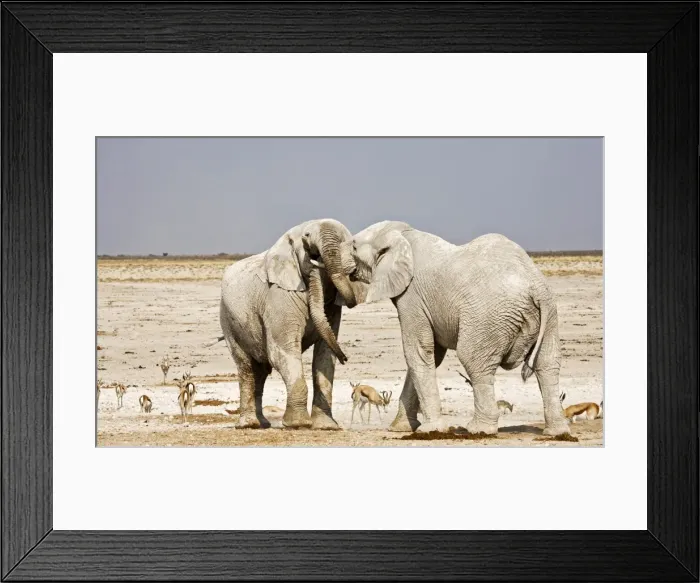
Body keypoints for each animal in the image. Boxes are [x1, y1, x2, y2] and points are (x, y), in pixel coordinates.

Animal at [219, 218, 357, 430]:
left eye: (344, 242)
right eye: (306, 237)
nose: (346, 358)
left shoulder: (332, 308)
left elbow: (324, 355)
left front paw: (326, 426)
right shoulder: (279, 294)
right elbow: (283, 351)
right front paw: (299, 424)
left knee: (260, 372)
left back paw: (263, 424)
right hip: (227, 319)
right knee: (247, 367)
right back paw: (248, 425)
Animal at [343, 220, 570, 436]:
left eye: (353, 246)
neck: (404, 234)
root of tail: (536, 287)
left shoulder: (412, 296)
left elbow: (418, 352)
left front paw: (430, 430)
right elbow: (432, 355)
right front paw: (401, 428)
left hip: (488, 316)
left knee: (474, 361)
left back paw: (479, 430)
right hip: (551, 315)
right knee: (547, 364)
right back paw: (557, 431)